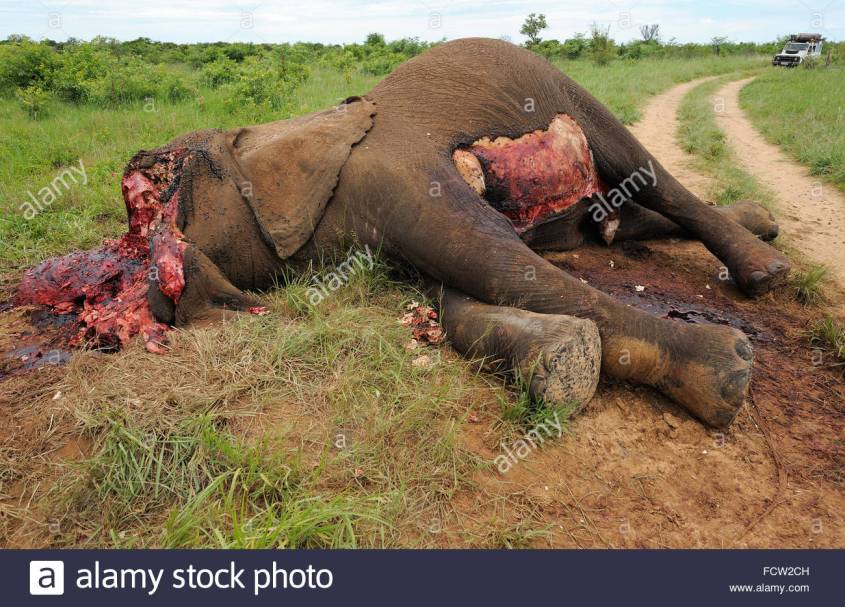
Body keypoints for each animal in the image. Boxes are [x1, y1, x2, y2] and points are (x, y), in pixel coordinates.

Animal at [15, 38, 790, 428]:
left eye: (174, 172)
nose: (123, 254)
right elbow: (467, 279)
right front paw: (562, 358)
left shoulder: (388, 176)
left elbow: (495, 260)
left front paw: (727, 375)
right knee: (603, 221)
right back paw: (755, 224)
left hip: (563, 87)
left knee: (643, 171)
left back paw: (765, 271)